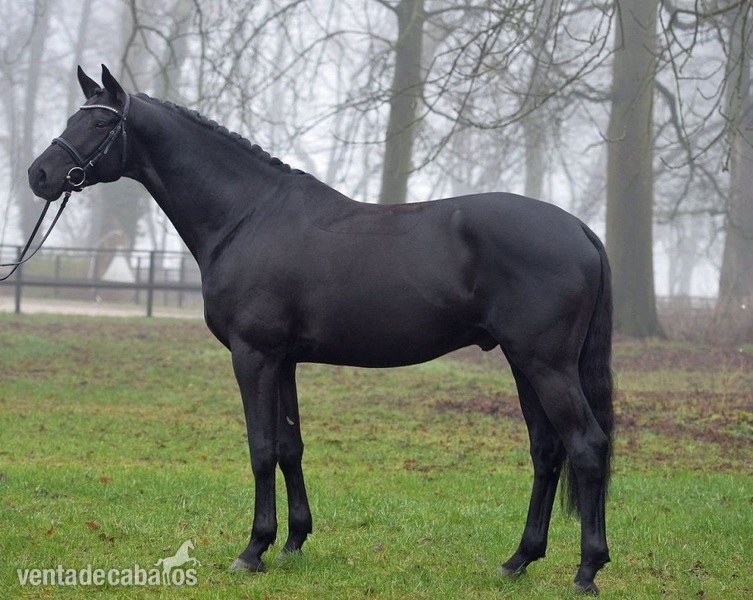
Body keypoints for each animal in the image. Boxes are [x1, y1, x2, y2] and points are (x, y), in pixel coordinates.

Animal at [28, 66, 614, 594]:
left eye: (100, 123)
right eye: (74, 117)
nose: (39, 175)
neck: (247, 216)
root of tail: (580, 229)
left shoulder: (253, 355)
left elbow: (261, 448)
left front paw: (253, 550)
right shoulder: (283, 359)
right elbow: (291, 447)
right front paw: (292, 542)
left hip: (545, 364)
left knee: (586, 446)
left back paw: (587, 570)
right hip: (522, 363)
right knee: (547, 451)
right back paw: (519, 559)